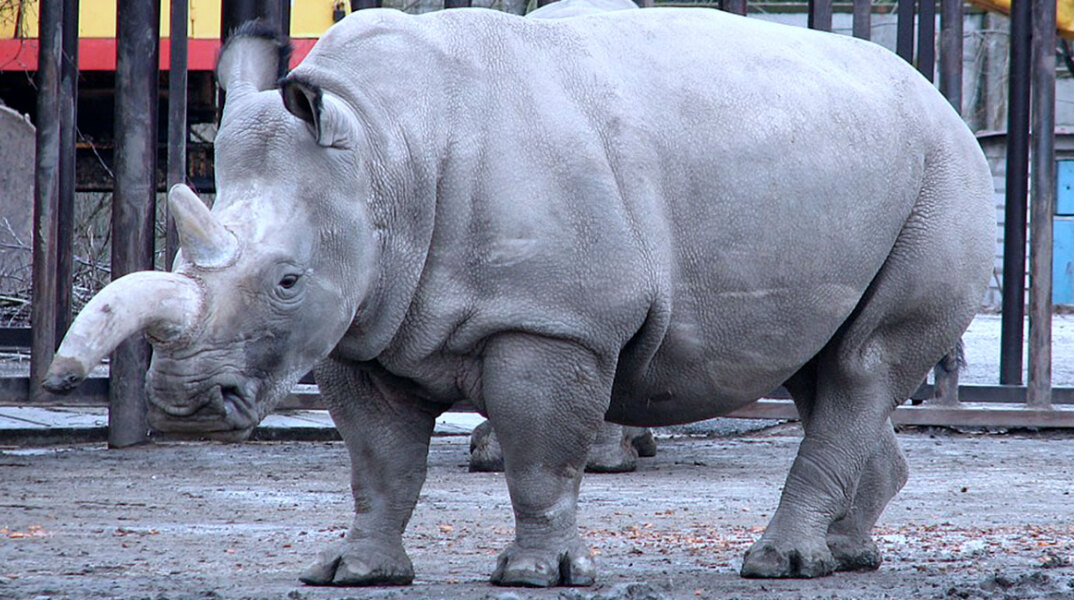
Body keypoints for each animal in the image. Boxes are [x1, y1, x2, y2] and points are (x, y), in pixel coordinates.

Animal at [44, 5, 995, 589]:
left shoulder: (555, 322)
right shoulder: (363, 327)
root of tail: (944, 98)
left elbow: (542, 451)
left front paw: (536, 576)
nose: (185, 406)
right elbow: (378, 464)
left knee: (862, 366)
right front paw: (357, 573)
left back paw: (780, 565)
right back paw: (844, 556)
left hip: (945, 174)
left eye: (286, 281)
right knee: (822, 369)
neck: (384, 153)